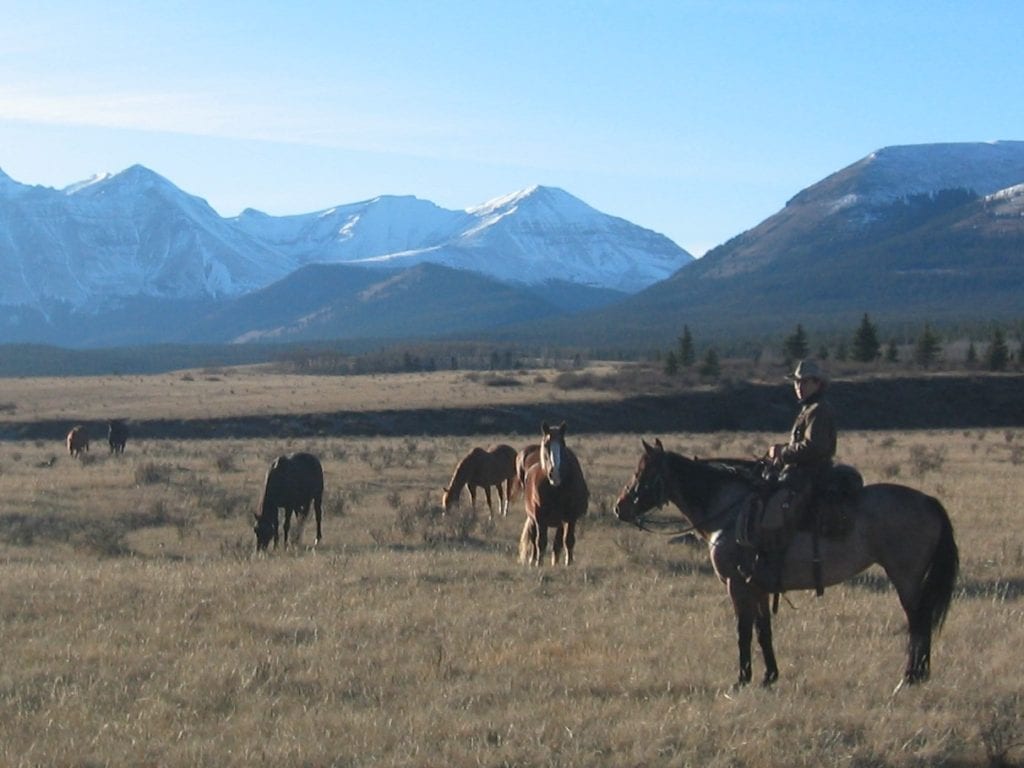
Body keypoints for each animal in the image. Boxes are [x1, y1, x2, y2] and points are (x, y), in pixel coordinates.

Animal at [518, 422, 589, 566]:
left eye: (563, 443)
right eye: (546, 444)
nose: (554, 474)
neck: (558, 488)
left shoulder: (570, 517)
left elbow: (568, 540)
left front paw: (568, 563)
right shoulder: (539, 516)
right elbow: (540, 542)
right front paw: (538, 563)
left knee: (558, 542)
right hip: (533, 518)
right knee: (534, 538)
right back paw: (533, 560)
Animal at [614, 439, 959, 691]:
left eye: (642, 472)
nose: (620, 507)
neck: (729, 511)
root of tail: (928, 501)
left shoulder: (737, 585)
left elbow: (742, 631)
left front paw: (742, 679)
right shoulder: (759, 587)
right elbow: (763, 630)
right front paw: (769, 676)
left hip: (905, 576)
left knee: (918, 620)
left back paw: (911, 676)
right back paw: (918, 675)